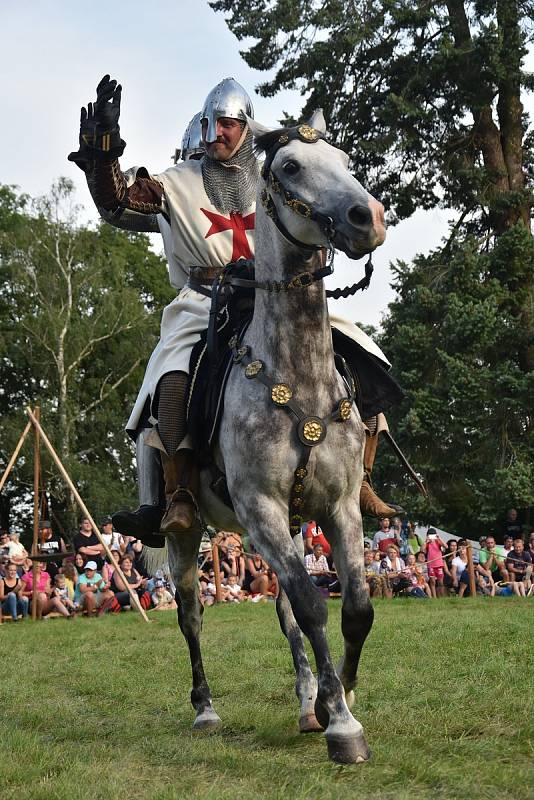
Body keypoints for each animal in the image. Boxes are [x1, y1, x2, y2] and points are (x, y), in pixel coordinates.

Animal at [166, 109, 386, 764]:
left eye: (345, 160)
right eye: (289, 166)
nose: (368, 218)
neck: (299, 376)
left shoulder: (338, 508)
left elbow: (354, 608)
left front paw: (339, 696)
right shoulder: (260, 508)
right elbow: (315, 605)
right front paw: (343, 725)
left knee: (287, 615)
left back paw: (308, 700)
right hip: (189, 536)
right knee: (192, 615)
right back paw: (206, 708)